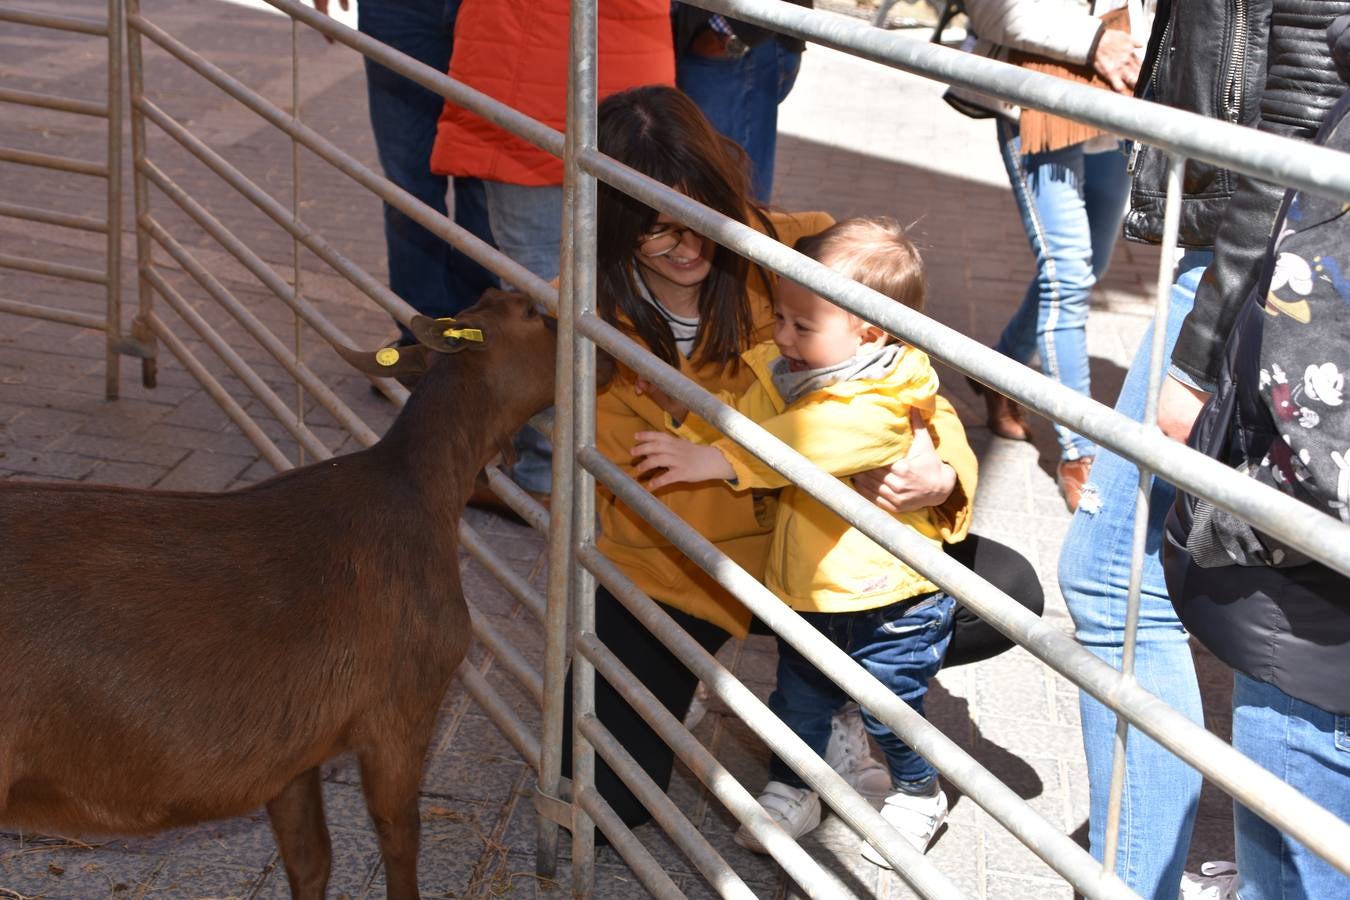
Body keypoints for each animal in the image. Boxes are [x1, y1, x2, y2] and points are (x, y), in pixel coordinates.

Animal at [0, 290, 558, 900]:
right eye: (530, 313)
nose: (598, 360)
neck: (418, 485)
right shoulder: (402, 707)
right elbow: (398, 835)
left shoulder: (292, 754)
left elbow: (310, 857)